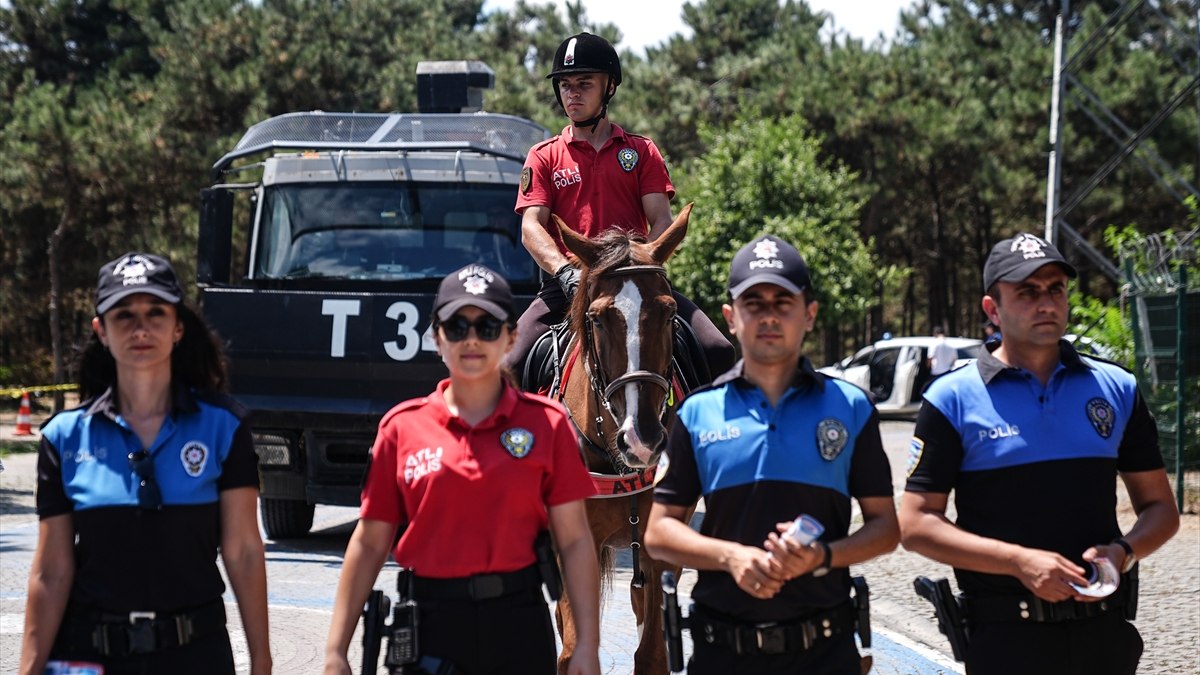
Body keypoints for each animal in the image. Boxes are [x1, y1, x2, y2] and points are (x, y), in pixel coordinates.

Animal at [549, 205, 696, 672]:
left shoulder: (658, 548)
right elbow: (574, 652)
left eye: (669, 313)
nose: (642, 438)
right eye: (597, 318)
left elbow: (651, 653)